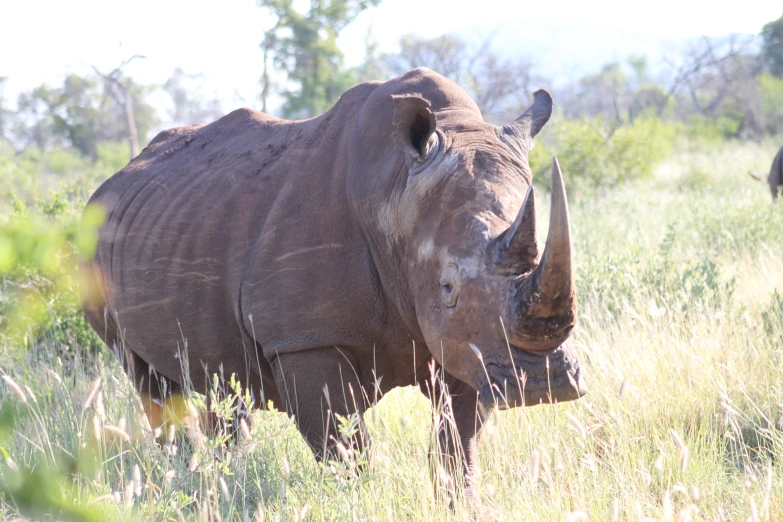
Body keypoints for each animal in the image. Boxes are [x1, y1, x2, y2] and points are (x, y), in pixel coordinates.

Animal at [84, 68, 588, 480]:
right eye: (448, 287)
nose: (543, 384)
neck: (394, 196)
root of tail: (111, 181)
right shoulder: (306, 339)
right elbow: (345, 449)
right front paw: (364, 499)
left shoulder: (470, 342)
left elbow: (457, 445)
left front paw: (456, 501)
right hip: (92, 251)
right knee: (149, 381)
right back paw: (185, 477)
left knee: (222, 383)